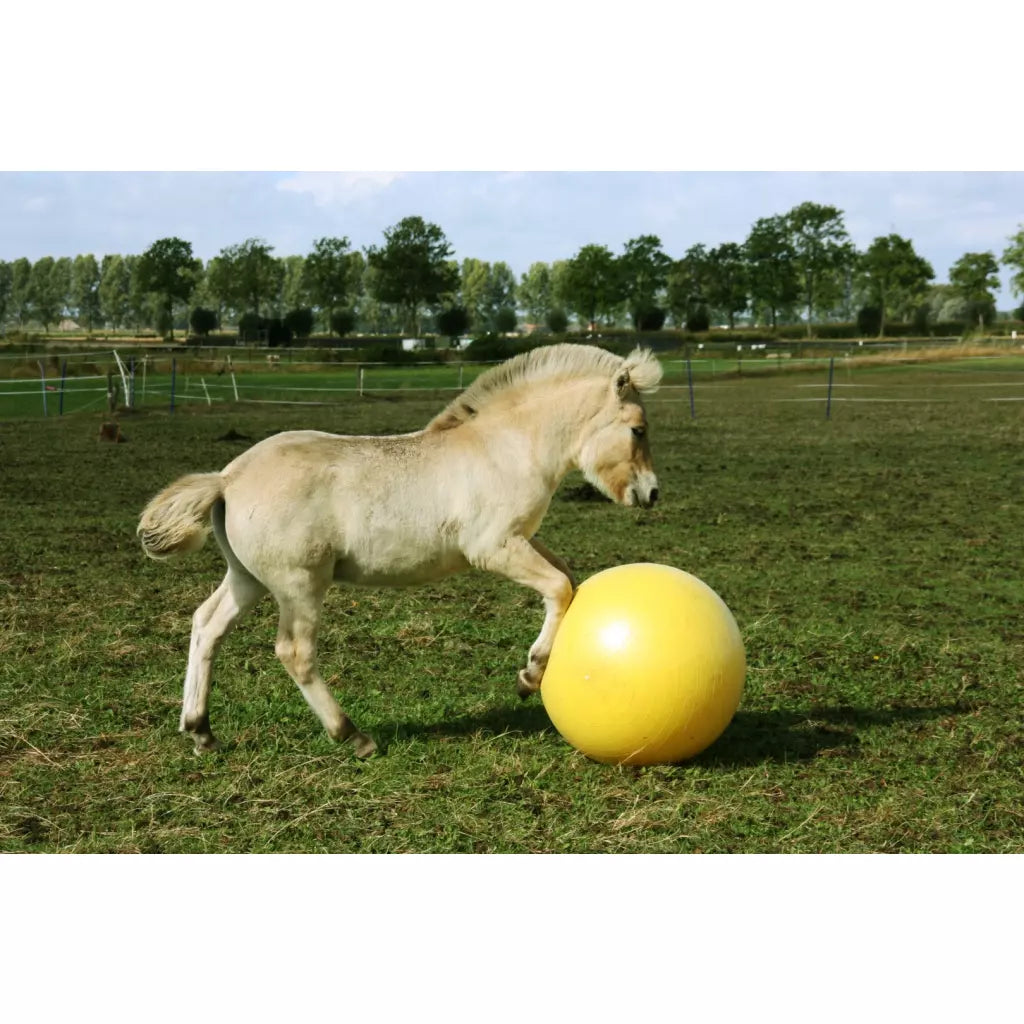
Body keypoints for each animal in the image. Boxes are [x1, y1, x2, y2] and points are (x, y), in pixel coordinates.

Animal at [138, 343, 663, 756]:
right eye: (638, 429)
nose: (652, 493)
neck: (505, 448)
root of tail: (227, 479)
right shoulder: (493, 548)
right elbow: (558, 588)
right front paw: (530, 675)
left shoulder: (521, 539)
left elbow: (568, 576)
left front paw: (530, 672)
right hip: (300, 583)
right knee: (294, 651)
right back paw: (352, 735)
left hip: (248, 578)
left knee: (207, 625)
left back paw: (201, 731)